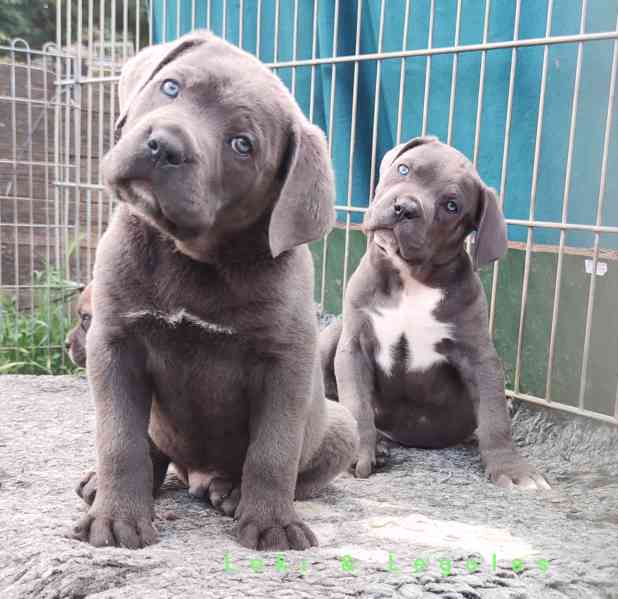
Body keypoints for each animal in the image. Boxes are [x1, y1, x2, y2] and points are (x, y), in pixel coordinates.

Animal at [73, 30, 356, 552]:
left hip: (342, 423)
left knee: (296, 471)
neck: (193, 257)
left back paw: (232, 491)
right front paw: (118, 516)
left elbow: (273, 452)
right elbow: (120, 439)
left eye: (242, 144)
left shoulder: (286, 362)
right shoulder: (115, 343)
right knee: (150, 448)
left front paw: (271, 524)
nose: (163, 145)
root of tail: (197, 476)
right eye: (170, 87)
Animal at [320, 137, 548, 492]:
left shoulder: (479, 357)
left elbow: (495, 416)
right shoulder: (354, 345)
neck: (411, 277)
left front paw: (512, 469)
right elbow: (357, 403)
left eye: (451, 205)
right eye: (404, 169)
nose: (405, 207)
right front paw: (359, 452)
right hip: (332, 335)